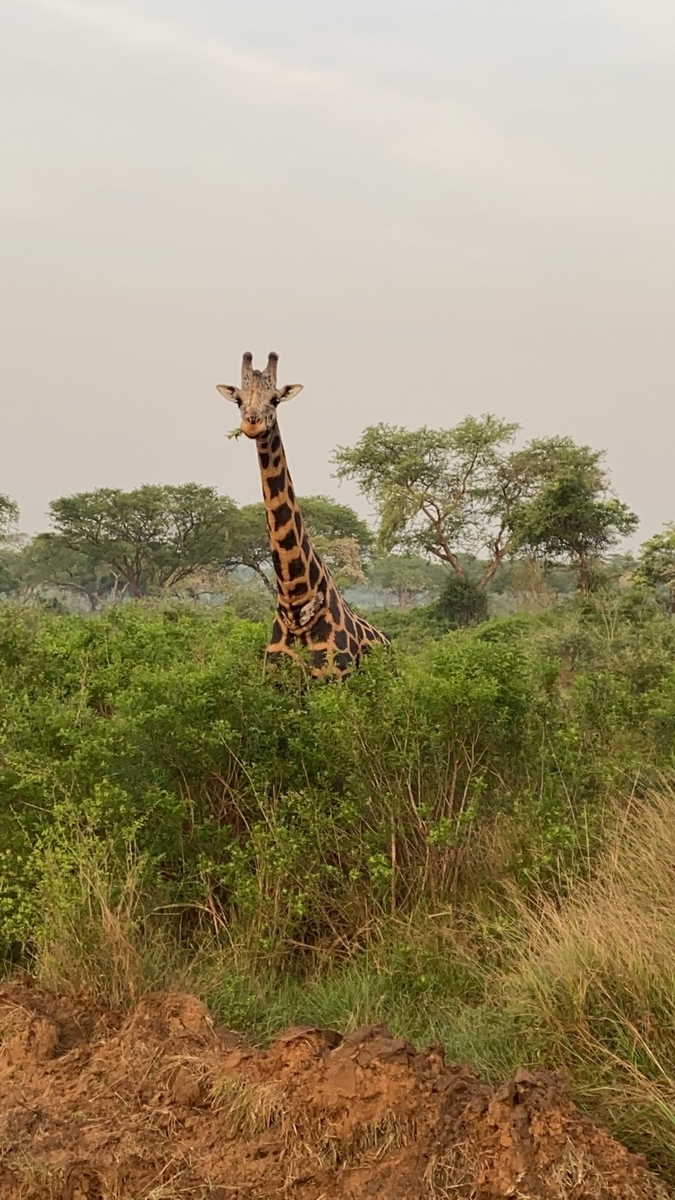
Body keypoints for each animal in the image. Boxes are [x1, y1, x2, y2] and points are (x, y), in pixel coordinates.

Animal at [218, 350, 386, 681]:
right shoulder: (275, 683)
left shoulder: (335, 678)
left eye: (275, 399)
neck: (296, 602)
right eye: (239, 400)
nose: (252, 423)